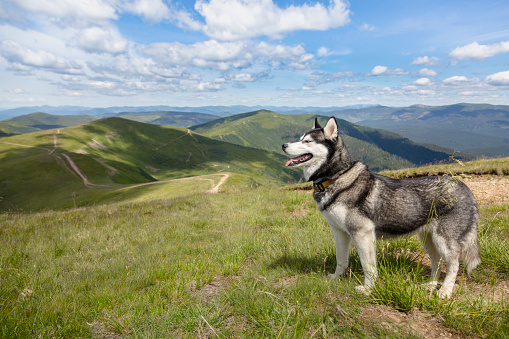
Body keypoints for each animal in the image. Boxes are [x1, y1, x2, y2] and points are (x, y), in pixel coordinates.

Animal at [282, 118, 480, 298]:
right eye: (300, 138)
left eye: (307, 141)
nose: (284, 145)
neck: (335, 177)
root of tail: (464, 187)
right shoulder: (340, 232)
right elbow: (341, 260)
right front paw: (337, 278)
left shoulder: (362, 233)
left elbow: (368, 266)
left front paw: (368, 289)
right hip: (428, 239)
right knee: (437, 261)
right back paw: (430, 285)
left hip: (444, 240)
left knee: (453, 264)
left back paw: (445, 291)